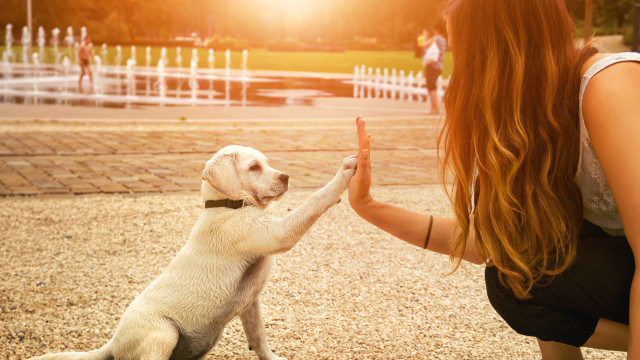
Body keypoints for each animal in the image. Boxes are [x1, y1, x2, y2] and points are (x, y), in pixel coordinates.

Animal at [31, 146, 356, 360]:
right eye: (254, 167)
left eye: (267, 163)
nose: (287, 177)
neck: (227, 206)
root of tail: (112, 343)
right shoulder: (276, 233)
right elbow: (315, 200)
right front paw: (345, 173)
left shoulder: (251, 303)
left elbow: (259, 337)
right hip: (163, 332)